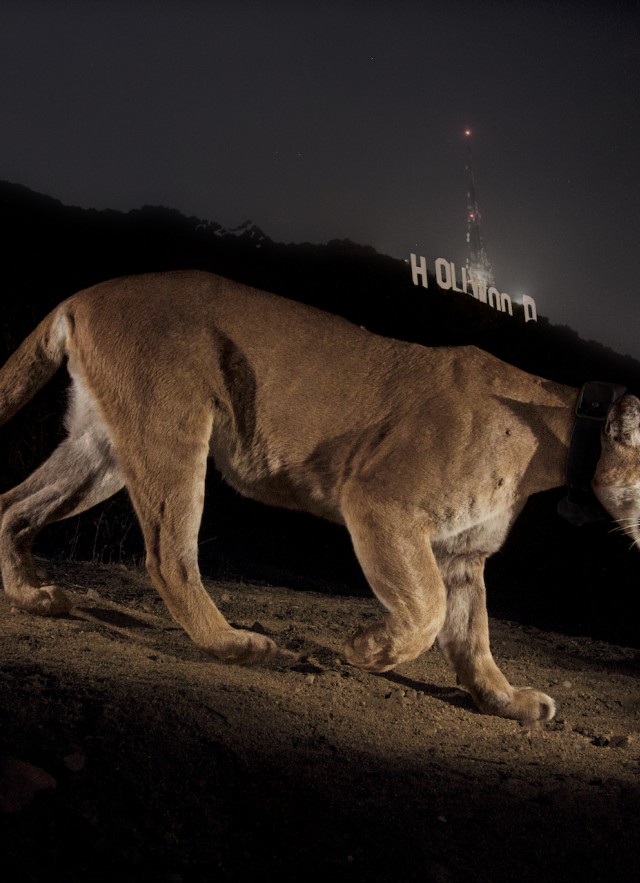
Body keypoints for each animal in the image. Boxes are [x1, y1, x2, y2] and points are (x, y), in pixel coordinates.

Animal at [2, 272, 636, 720]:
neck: (559, 437)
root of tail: (86, 292)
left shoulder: (463, 552)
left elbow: (472, 635)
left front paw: (507, 700)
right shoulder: (381, 505)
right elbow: (428, 609)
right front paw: (367, 649)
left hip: (102, 448)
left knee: (13, 507)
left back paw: (33, 597)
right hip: (170, 431)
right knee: (168, 555)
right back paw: (235, 644)